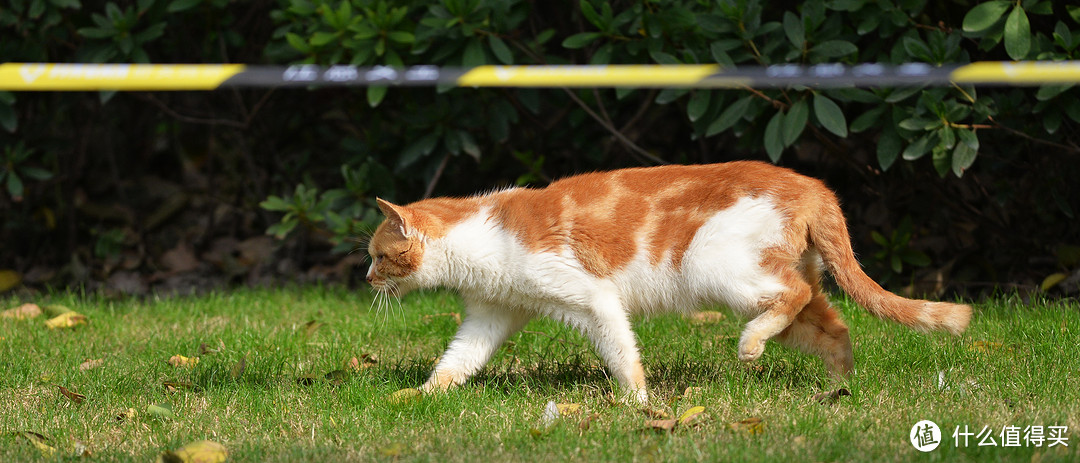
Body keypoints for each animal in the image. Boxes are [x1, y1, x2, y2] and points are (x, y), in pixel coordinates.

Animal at [367, 161, 976, 401]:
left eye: (376, 255)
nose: (367, 277)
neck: (481, 236)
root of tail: (812, 185)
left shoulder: (594, 297)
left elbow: (622, 352)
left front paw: (638, 402)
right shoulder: (493, 314)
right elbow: (457, 361)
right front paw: (420, 396)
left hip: (714, 267)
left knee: (795, 296)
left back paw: (750, 345)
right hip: (777, 288)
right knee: (834, 323)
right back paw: (838, 385)